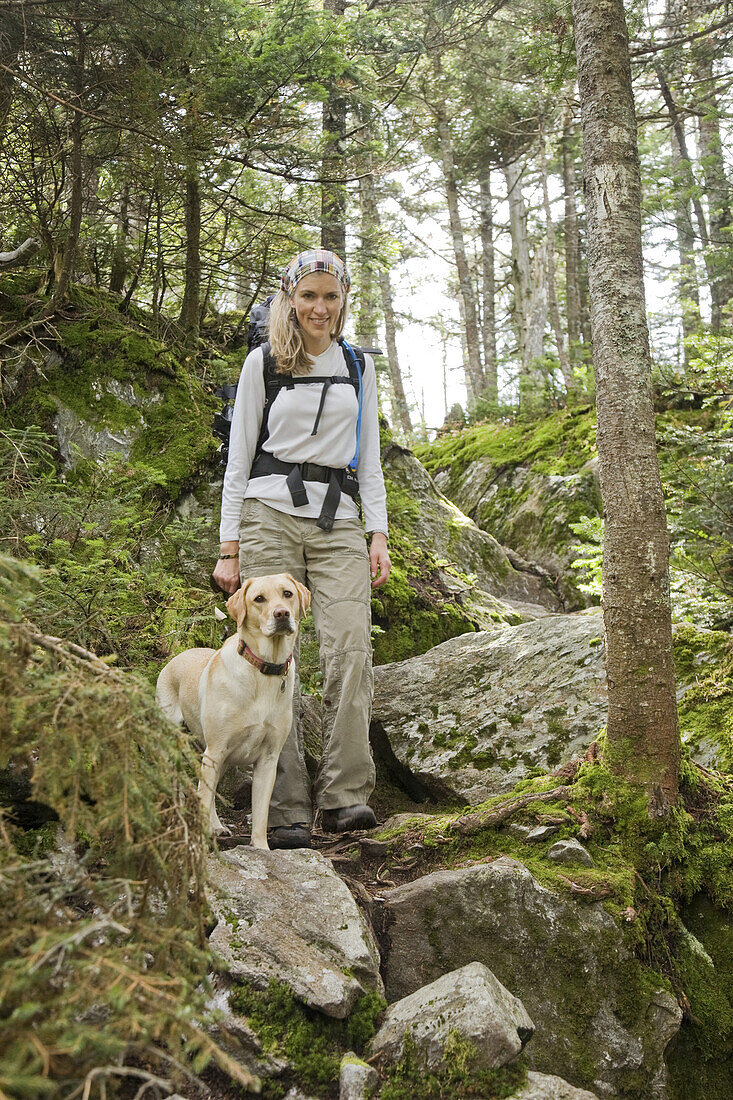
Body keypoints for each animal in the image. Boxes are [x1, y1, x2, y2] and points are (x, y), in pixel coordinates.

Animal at [156, 576, 308, 849]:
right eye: (259, 599)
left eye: (288, 594)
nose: (282, 613)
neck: (263, 671)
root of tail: (176, 657)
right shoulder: (215, 751)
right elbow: (203, 800)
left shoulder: (268, 759)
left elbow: (260, 813)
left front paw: (261, 848)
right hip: (177, 746)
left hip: (220, 759)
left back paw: (216, 826)